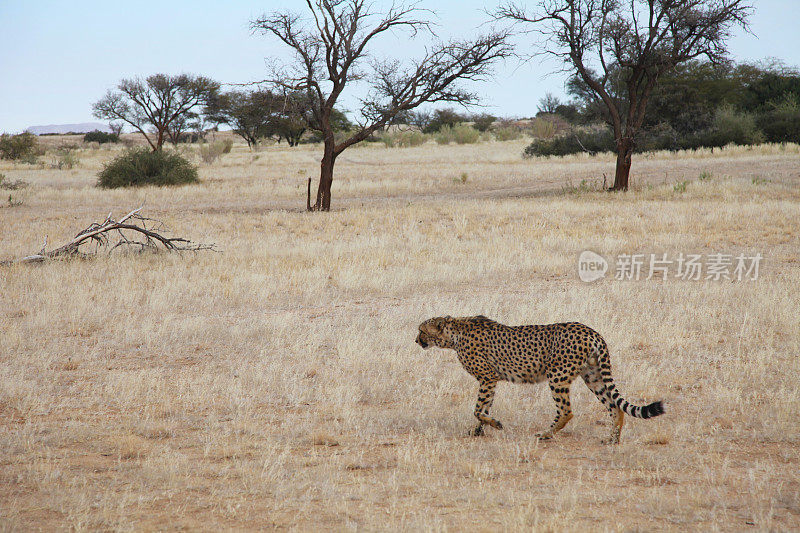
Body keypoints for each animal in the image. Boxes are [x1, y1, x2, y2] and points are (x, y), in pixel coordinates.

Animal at [416, 314, 664, 442]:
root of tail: (591, 331)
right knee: (615, 406)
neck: (454, 333)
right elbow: (484, 408)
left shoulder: (487, 378)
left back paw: (546, 434)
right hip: (592, 375)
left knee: (567, 411)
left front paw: (494, 424)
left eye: (421, 330)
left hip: (558, 376)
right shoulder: (490, 381)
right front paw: (478, 430)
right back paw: (612, 439)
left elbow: (478, 409)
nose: (416, 340)